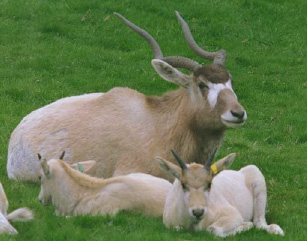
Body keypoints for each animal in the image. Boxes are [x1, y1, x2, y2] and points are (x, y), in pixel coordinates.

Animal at [158, 151, 286, 237]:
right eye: (183, 184)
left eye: (209, 184)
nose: (198, 212)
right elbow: (177, 228)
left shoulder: (233, 214)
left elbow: (212, 230)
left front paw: (245, 225)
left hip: (256, 176)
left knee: (259, 223)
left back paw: (276, 230)